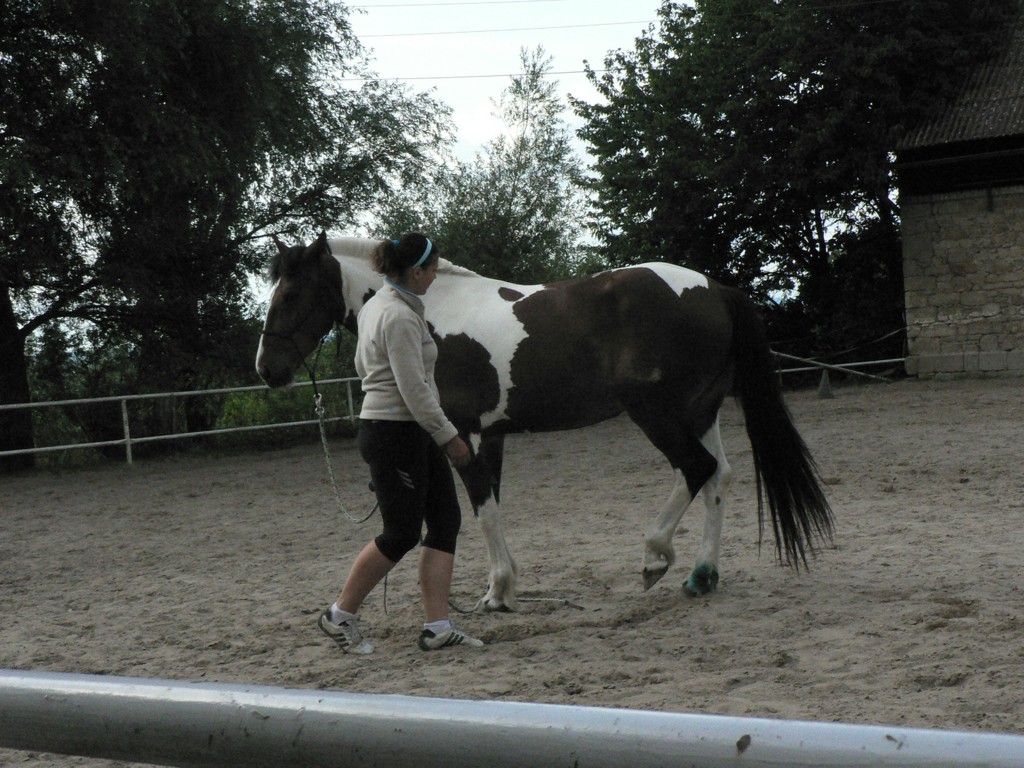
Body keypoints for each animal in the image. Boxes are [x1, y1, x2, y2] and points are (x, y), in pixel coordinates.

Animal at [253, 233, 831, 614]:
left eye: (290, 294)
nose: (267, 370)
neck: (429, 311)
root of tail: (713, 289)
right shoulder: (492, 434)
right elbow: (493, 504)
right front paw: (502, 590)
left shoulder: (465, 433)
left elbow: (483, 509)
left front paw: (497, 592)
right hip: (700, 410)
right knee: (719, 477)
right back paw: (701, 576)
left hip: (657, 413)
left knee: (696, 468)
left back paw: (655, 558)